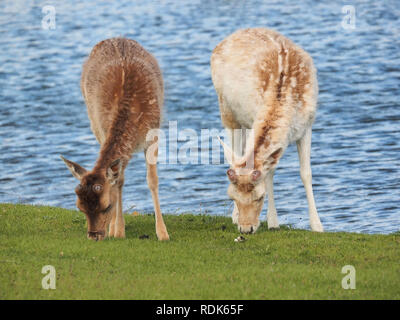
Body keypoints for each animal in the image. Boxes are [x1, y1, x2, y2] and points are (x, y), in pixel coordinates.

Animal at [60, 38, 169, 240]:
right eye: (80, 207)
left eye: (106, 206)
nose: (94, 236)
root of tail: (113, 38)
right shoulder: (103, 130)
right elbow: (119, 181)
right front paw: (118, 231)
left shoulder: (153, 133)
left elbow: (152, 180)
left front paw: (162, 233)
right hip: (94, 124)